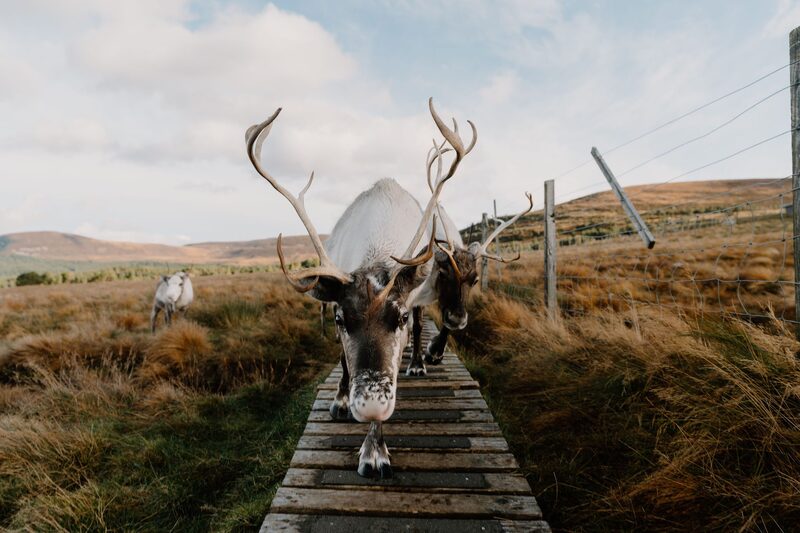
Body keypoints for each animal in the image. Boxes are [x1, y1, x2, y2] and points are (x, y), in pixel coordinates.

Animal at [245, 98, 476, 478]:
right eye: (340, 320)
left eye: (398, 318)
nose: (368, 406)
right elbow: (342, 358)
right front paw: (346, 407)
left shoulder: (408, 307)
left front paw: (374, 450)